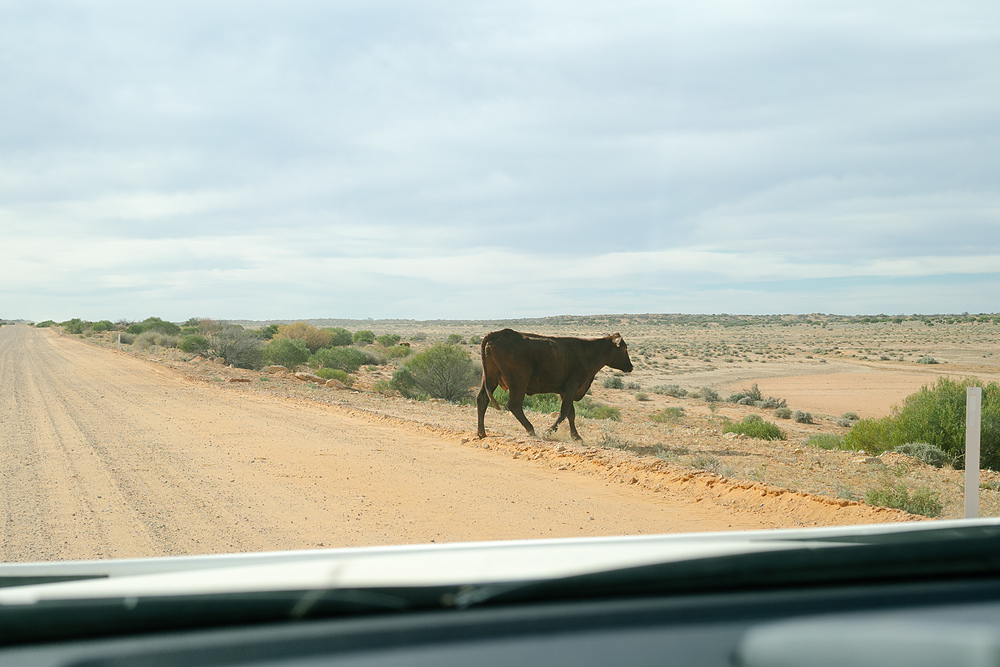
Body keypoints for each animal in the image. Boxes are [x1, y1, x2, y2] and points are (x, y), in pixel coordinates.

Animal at [476, 330, 632, 444]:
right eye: (624, 348)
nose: (631, 366)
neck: (587, 352)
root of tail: (496, 334)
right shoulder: (571, 387)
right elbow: (564, 412)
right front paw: (549, 430)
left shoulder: (565, 391)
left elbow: (571, 413)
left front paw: (576, 436)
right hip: (519, 381)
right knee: (514, 405)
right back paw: (531, 430)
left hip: (490, 378)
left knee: (482, 399)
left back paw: (481, 432)